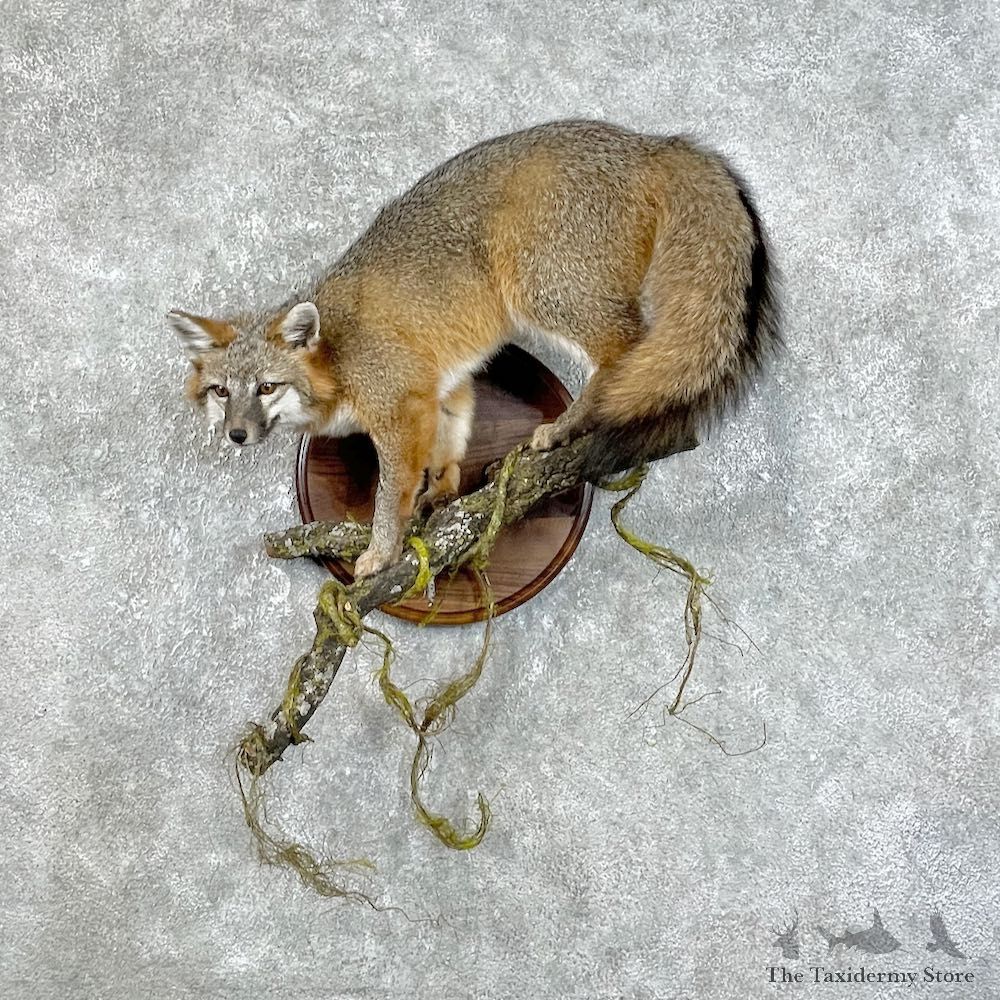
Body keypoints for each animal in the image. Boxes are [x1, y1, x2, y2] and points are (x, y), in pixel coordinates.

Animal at [169, 119, 779, 579]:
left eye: (267, 386)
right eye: (221, 391)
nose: (236, 435)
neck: (339, 358)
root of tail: (650, 142)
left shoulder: (398, 408)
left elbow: (389, 494)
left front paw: (381, 552)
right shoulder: (442, 389)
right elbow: (449, 445)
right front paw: (440, 496)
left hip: (543, 293)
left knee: (624, 354)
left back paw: (568, 427)